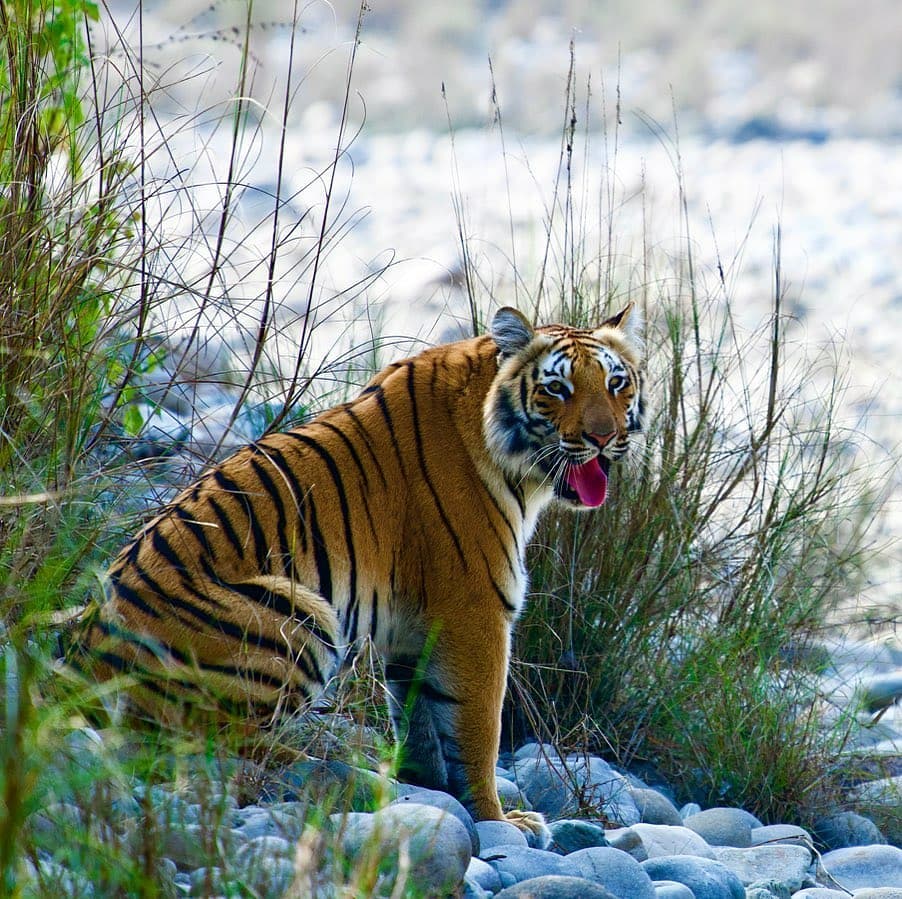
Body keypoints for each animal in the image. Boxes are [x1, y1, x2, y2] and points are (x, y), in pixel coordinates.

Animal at [74, 306, 648, 840]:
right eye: (557, 388)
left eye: (616, 384)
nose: (604, 438)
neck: (519, 471)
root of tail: (81, 662)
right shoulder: (477, 611)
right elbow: (478, 727)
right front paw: (500, 818)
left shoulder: (416, 630)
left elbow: (422, 722)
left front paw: (430, 791)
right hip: (299, 613)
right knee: (215, 745)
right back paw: (327, 769)